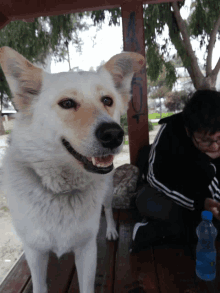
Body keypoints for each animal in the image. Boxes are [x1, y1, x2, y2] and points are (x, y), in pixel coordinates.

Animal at [0, 46, 144, 290]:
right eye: (67, 103)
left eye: (107, 100)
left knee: (108, 209)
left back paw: (112, 230)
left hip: (107, 191)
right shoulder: (35, 253)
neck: (62, 191)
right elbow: (39, 286)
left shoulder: (87, 251)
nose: (114, 134)